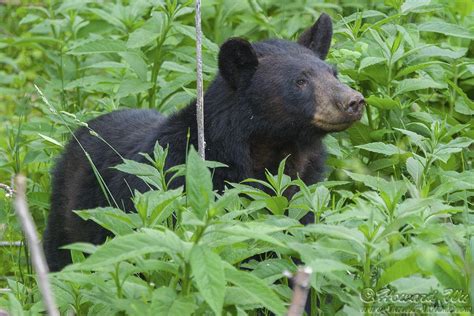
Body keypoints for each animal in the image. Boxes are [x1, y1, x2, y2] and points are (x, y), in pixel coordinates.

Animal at [42, 12, 364, 272]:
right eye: (300, 81)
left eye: (333, 73)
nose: (354, 101)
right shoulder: (176, 186)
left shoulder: (301, 195)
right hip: (66, 214)